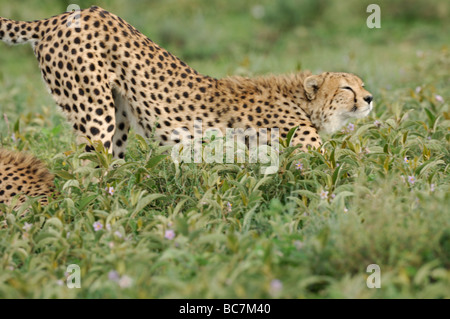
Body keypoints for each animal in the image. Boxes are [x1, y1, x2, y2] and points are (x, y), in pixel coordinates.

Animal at [0, 5, 372, 159]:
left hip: (117, 115)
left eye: (361, 84)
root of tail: (57, 17)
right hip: (94, 113)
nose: (369, 99)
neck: (299, 99)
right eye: (347, 87)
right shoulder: (303, 150)